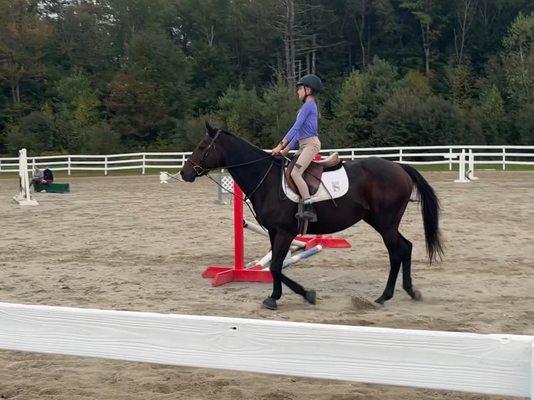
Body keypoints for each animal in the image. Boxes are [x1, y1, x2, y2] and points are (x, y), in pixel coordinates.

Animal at [180, 123, 444, 310]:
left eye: (202, 147)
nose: (184, 173)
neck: (267, 180)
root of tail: (399, 167)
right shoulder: (274, 232)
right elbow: (276, 266)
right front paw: (277, 296)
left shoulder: (285, 232)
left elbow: (275, 266)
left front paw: (301, 295)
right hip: (380, 222)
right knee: (406, 248)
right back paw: (410, 291)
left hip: (386, 223)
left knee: (396, 253)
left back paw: (384, 296)